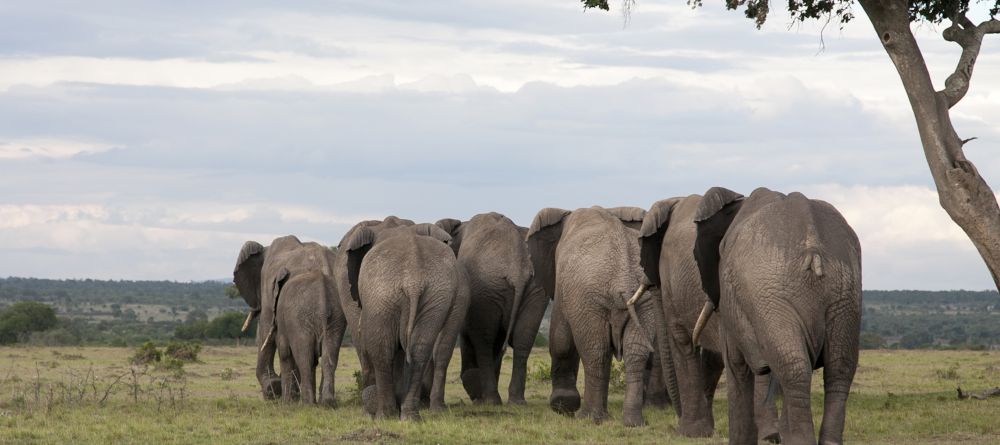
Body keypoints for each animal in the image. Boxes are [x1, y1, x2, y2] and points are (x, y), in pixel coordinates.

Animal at [232, 235, 346, 404]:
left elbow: (267, 333)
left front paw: (274, 392)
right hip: (336, 316)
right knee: (328, 354)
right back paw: (326, 402)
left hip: (302, 317)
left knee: (304, 356)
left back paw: (307, 403)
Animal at [341, 222, 471, 420]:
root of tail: (413, 281)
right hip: (436, 295)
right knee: (420, 350)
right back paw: (411, 417)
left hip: (382, 292)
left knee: (381, 348)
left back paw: (385, 416)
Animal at [435, 212, 548, 405]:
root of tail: (518, 267)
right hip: (535, 289)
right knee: (523, 340)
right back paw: (516, 402)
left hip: (486, 288)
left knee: (484, 343)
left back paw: (490, 401)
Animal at [526, 206, 679, 427]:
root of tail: (623, 278)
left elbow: (561, 338)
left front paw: (563, 407)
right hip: (643, 300)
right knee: (634, 353)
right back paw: (633, 423)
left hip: (589, 300)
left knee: (595, 351)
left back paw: (590, 417)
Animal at [691, 187, 862, 445]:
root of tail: (812, 241)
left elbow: (736, 365)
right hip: (844, 293)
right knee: (838, 369)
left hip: (770, 293)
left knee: (794, 369)